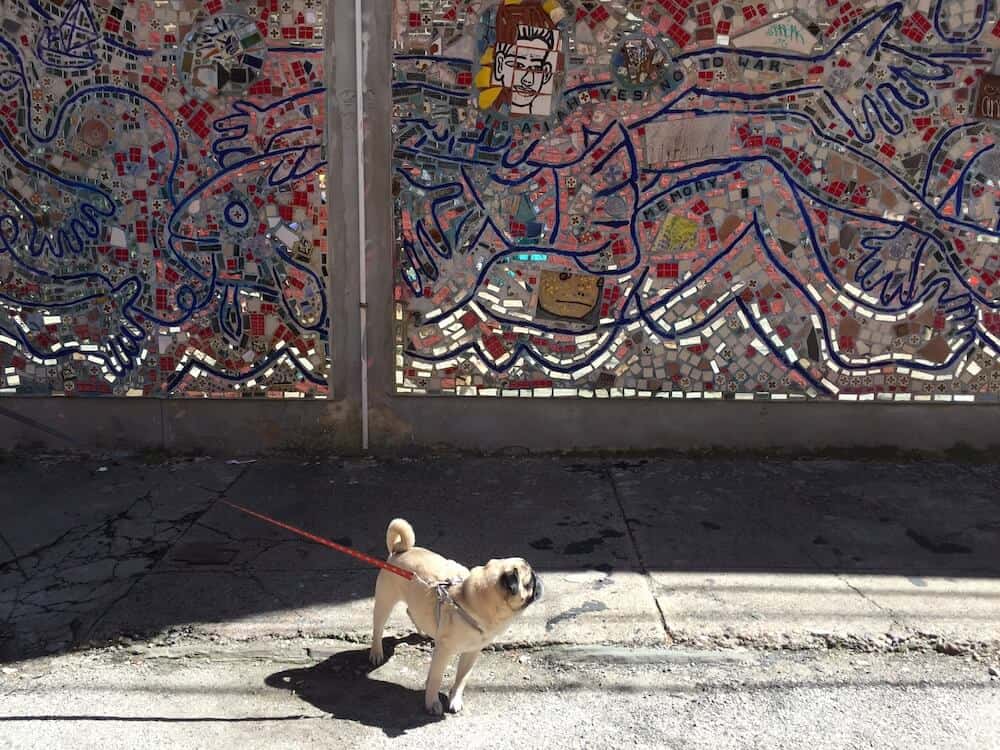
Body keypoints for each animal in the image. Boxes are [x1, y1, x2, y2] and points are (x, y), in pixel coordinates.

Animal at [370, 516, 544, 716]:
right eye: (530, 581)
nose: (539, 579)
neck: (468, 601)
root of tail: (400, 550)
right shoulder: (443, 652)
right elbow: (436, 678)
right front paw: (432, 703)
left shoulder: (472, 652)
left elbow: (462, 678)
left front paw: (454, 699)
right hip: (385, 601)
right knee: (378, 628)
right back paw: (376, 652)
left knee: (411, 611)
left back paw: (423, 631)